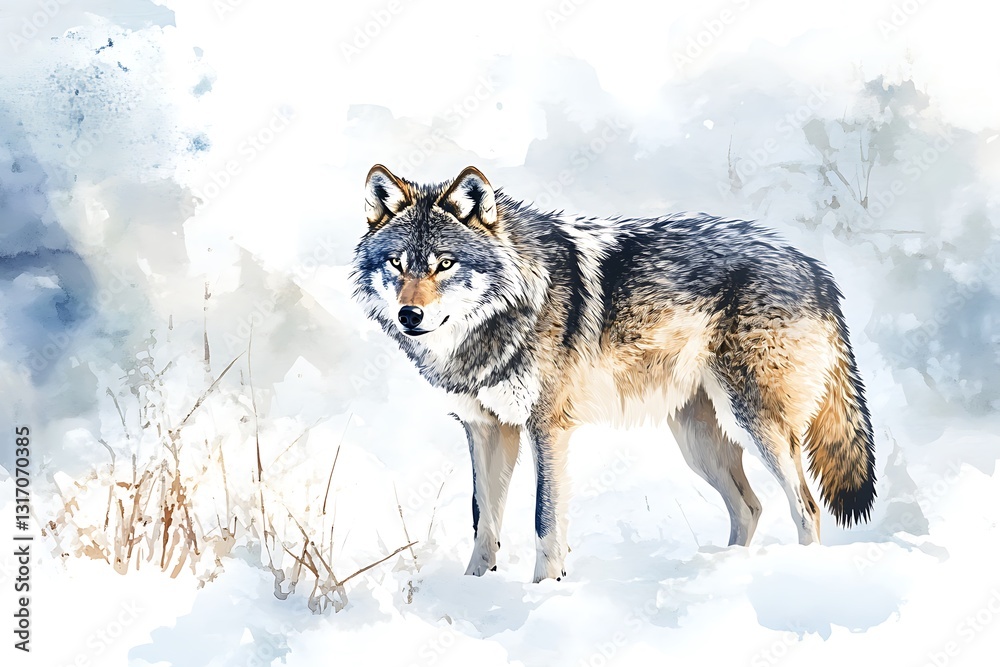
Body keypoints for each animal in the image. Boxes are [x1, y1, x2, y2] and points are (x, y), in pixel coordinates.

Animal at [351, 164, 876, 583]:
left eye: (445, 263)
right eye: (397, 263)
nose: (409, 315)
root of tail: (817, 271)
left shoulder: (547, 428)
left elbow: (545, 522)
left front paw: (543, 592)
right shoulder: (485, 427)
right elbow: (485, 521)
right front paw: (473, 591)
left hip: (756, 425)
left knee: (804, 507)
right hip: (697, 443)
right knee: (750, 508)